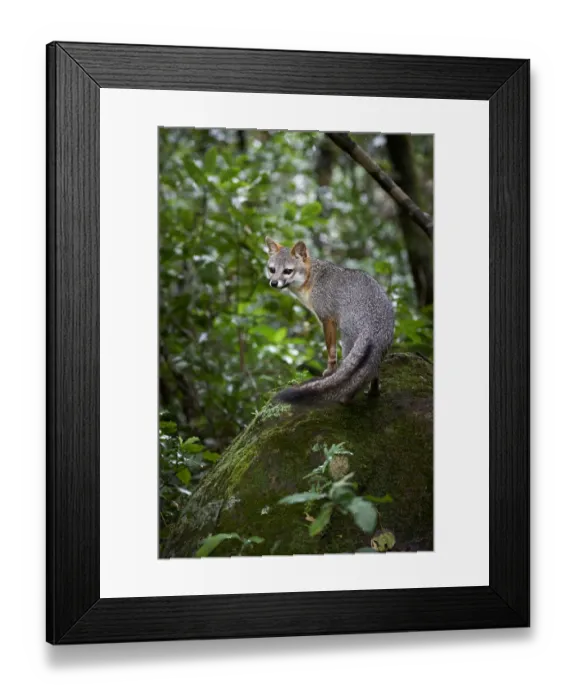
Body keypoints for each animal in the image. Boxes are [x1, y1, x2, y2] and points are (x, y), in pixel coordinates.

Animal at [265, 237, 395, 405]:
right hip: (375, 354)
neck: (313, 278)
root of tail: (374, 325)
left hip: (347, 343)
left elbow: (330, 350)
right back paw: (373, 393)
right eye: (272, 270)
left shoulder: (326, 319)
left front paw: (330, 371)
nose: (274, 283)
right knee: (371, 374)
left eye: (288, 271)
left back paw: (345, 399)